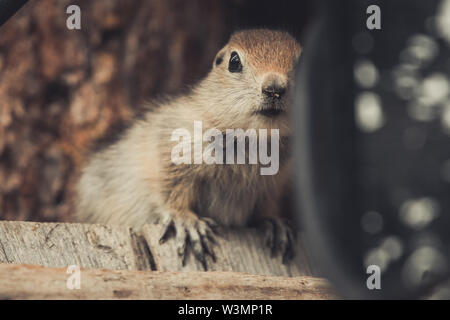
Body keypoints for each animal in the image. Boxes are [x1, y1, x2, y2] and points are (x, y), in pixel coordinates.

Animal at [76, 29, 302, 268]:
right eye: (234, 62)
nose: (274, 88)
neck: (256, 138)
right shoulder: (169, 152)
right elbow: (170, 190)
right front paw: (185, 220)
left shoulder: (276, 184)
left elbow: (267, 205)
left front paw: (274, 222)